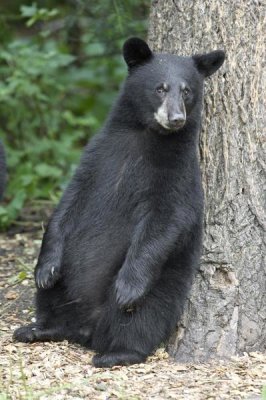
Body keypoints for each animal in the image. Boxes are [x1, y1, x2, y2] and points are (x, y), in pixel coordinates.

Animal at [14, 39, 224, 368]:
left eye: (187, 90)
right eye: (160, 88)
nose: (176, 119)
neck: (146, 136)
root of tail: (86, 330)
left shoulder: (178, 174)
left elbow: (165, 220)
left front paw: (128, 288)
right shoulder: (97, 157)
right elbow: (68, 203)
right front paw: (45, 268)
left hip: (163, 283)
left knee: (143, 317)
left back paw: (117, 352)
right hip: (66, 283)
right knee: (51, 298)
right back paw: (38, 328)